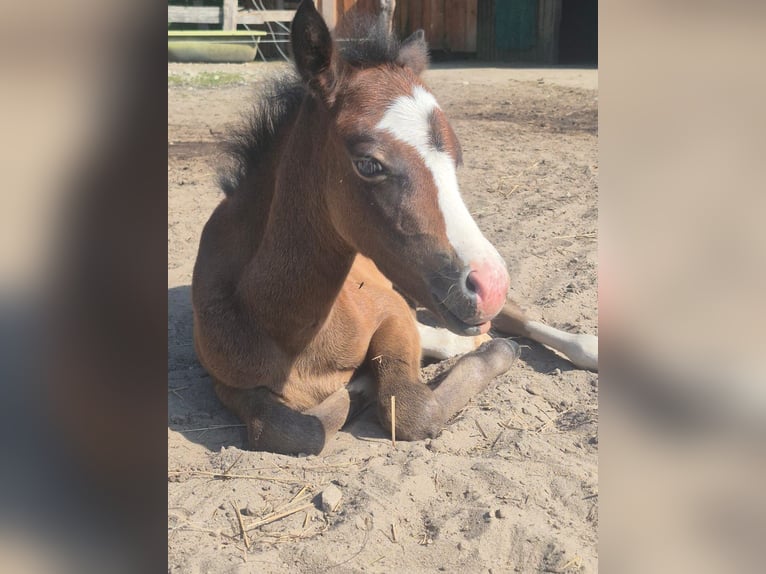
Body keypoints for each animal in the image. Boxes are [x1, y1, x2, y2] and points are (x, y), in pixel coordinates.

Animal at [191, 0, 597, 456]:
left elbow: (411, 408)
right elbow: (287, 428)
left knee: (514, 319)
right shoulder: (228, 382)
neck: (289, 331)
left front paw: (491, 353)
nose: (490, 284)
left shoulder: (392, 315)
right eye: (369, 164)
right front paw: (358, 388)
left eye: (457, 158)